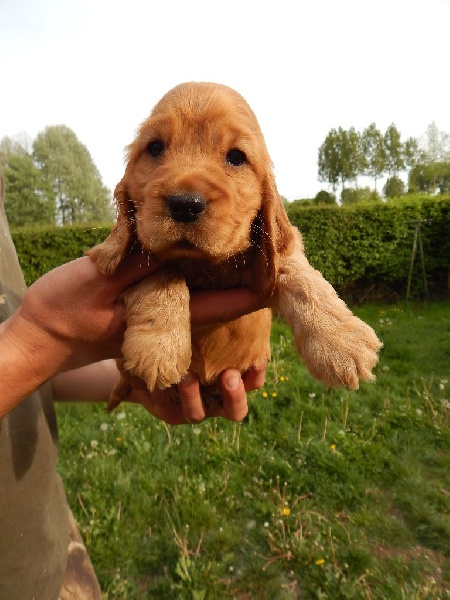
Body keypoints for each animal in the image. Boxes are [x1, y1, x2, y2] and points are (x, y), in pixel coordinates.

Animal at [89, 82, 382, 410]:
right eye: (154, 148)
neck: (204, 264)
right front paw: (158, 349)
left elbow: (300, 274)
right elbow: (163, 271)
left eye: (236, 157)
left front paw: (340, 344)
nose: (185, 204)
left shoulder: (269, 261)